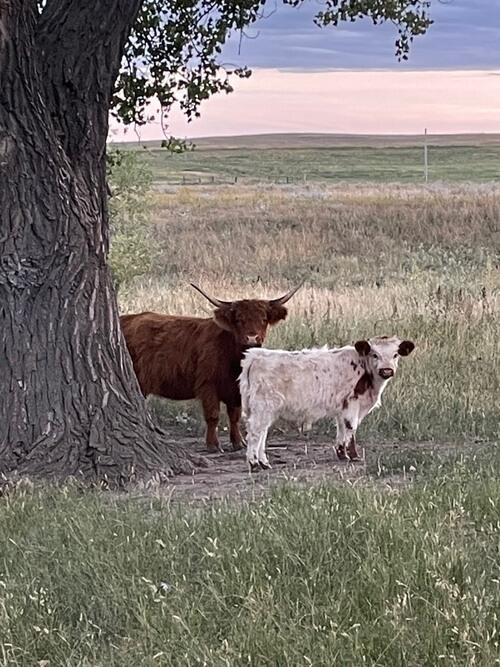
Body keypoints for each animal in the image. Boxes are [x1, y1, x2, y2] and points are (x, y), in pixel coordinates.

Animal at [120, 283, 302, 453]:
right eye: (239, 319)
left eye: (263, 319)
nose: (251, 338)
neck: (233, 359)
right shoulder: (208, 384)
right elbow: (213, 415)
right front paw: (213, 445)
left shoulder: (235, 389)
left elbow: (234, 416)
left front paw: (238, 443)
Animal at [238, 336, 415, 471]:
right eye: (374, 354)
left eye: (395, 355)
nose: (386, 370)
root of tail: (256, 356)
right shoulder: (352, 403)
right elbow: (351, 428)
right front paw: (354, 456)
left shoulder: (343, 407)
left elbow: (342, 429)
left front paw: (342, 454)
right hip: (263, 407)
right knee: (255, 433)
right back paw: (254, 463)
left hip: (265, 410)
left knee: (262, 433)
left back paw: (264, 463)